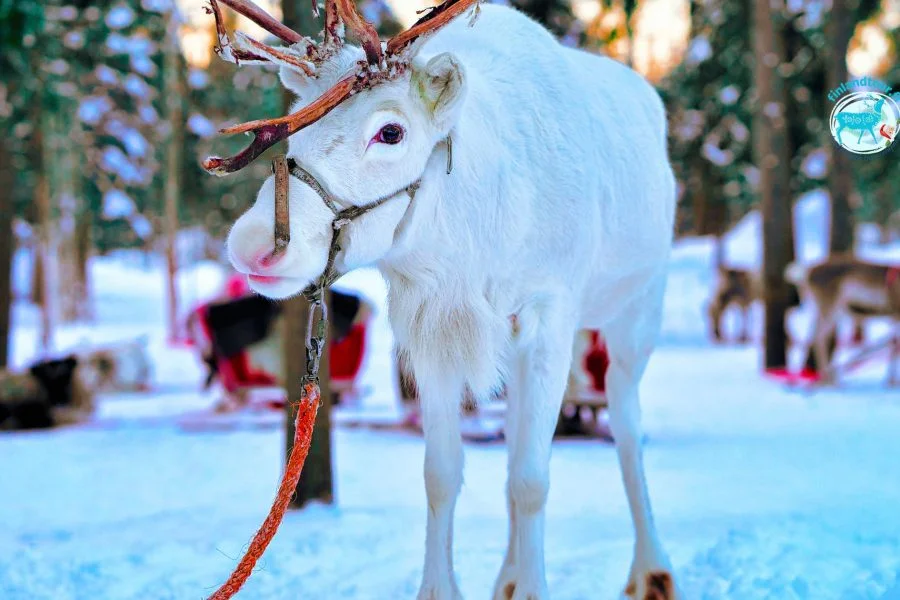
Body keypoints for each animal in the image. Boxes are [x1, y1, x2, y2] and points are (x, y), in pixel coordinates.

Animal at [204, 1, 680, 598]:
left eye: (391, 132)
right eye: (297, 120)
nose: (252, 244)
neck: (470, 248)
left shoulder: (551, 313)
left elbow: (532, 479)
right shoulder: (434, 333)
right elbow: (442, 474)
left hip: (637, 309)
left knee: (627, 429)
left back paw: (651, 569)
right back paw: (508, 578)